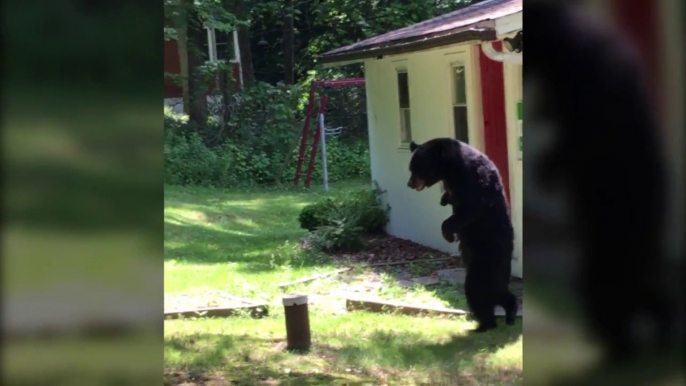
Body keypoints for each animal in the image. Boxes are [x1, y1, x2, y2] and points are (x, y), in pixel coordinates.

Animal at [408, 138, 516, 332]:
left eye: (418, 167)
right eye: (410, 168)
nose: (410, 183)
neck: (452, 168)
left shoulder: (473, 181)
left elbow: (470, 209)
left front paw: (449, 235)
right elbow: (450, 199)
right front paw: (443, 199)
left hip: (482, 270)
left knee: (477, 295)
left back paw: (484, 325)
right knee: (502, 298)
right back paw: (509, 314)